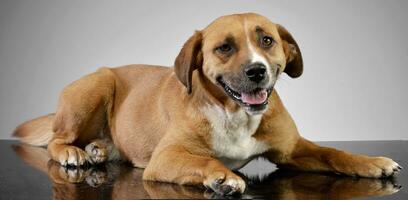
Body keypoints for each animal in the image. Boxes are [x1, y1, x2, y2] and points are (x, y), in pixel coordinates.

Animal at [13, 12, 402, 195]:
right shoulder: (167, 157)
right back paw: (73, 152)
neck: (235, 114)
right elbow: (202, 161)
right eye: (224, 47)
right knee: (57, 139)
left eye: (267, 40)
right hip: (97, 84)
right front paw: (222, 176)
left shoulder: (292, 149)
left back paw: (97, 149)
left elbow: (335, 153)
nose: (257, 71)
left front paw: (371, 163)